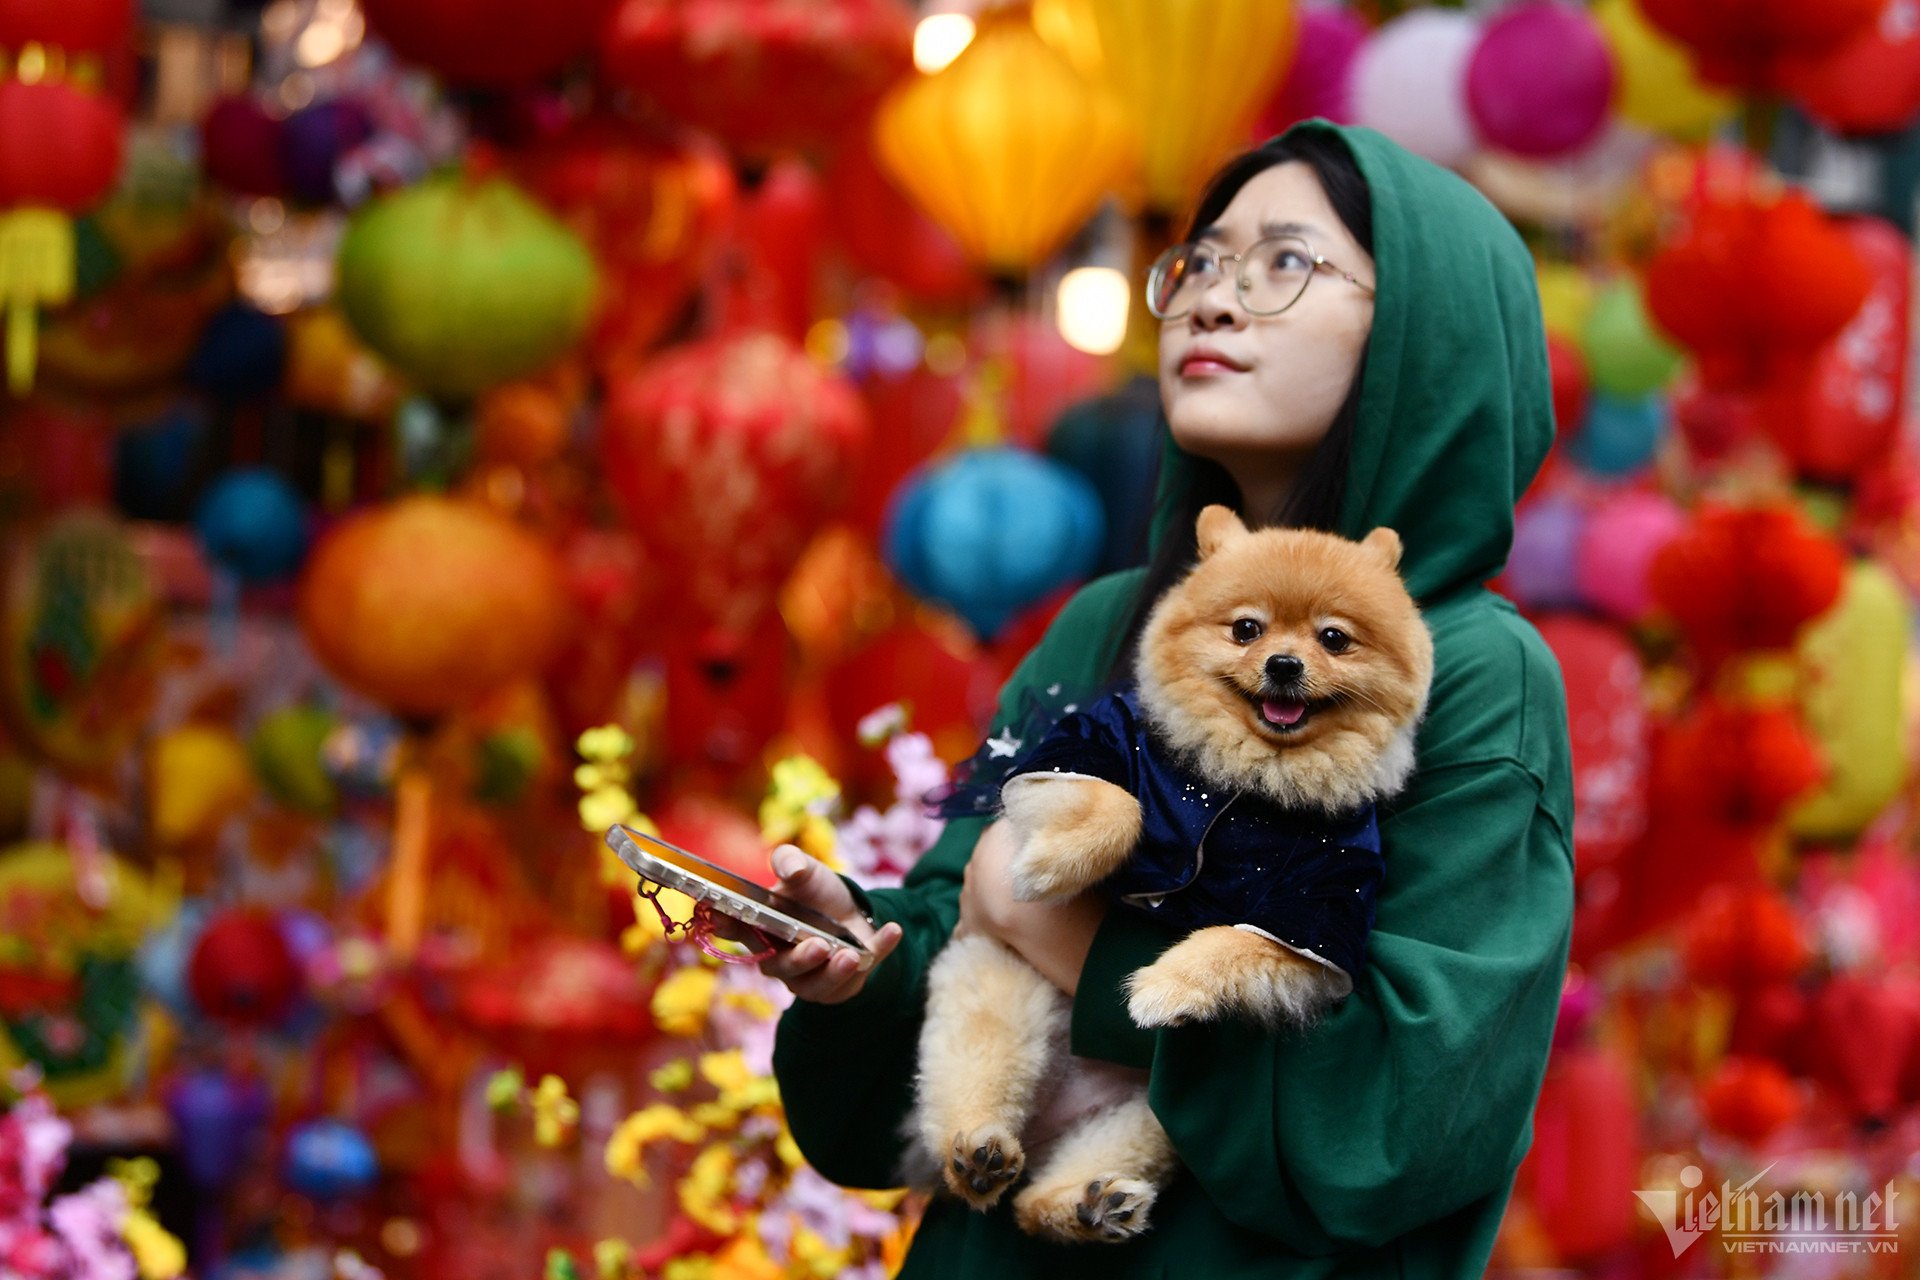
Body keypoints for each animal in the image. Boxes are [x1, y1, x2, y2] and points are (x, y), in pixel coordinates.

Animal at [906, 506, 1436, 1243]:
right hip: (997, 989)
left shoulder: (1326, 902)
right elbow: (1117, 802)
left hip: (1155, 1113)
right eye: (1247, 629)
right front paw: (1052, 864)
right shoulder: (1091, 743)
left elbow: (1230, 941)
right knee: (970, 1097)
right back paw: (977, 1152)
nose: (1284, 663)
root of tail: (1054, 1115)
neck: (1246, 786)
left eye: (1334, 638)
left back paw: (1087, 1205)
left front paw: (1164, 986)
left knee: (1033, 1202)